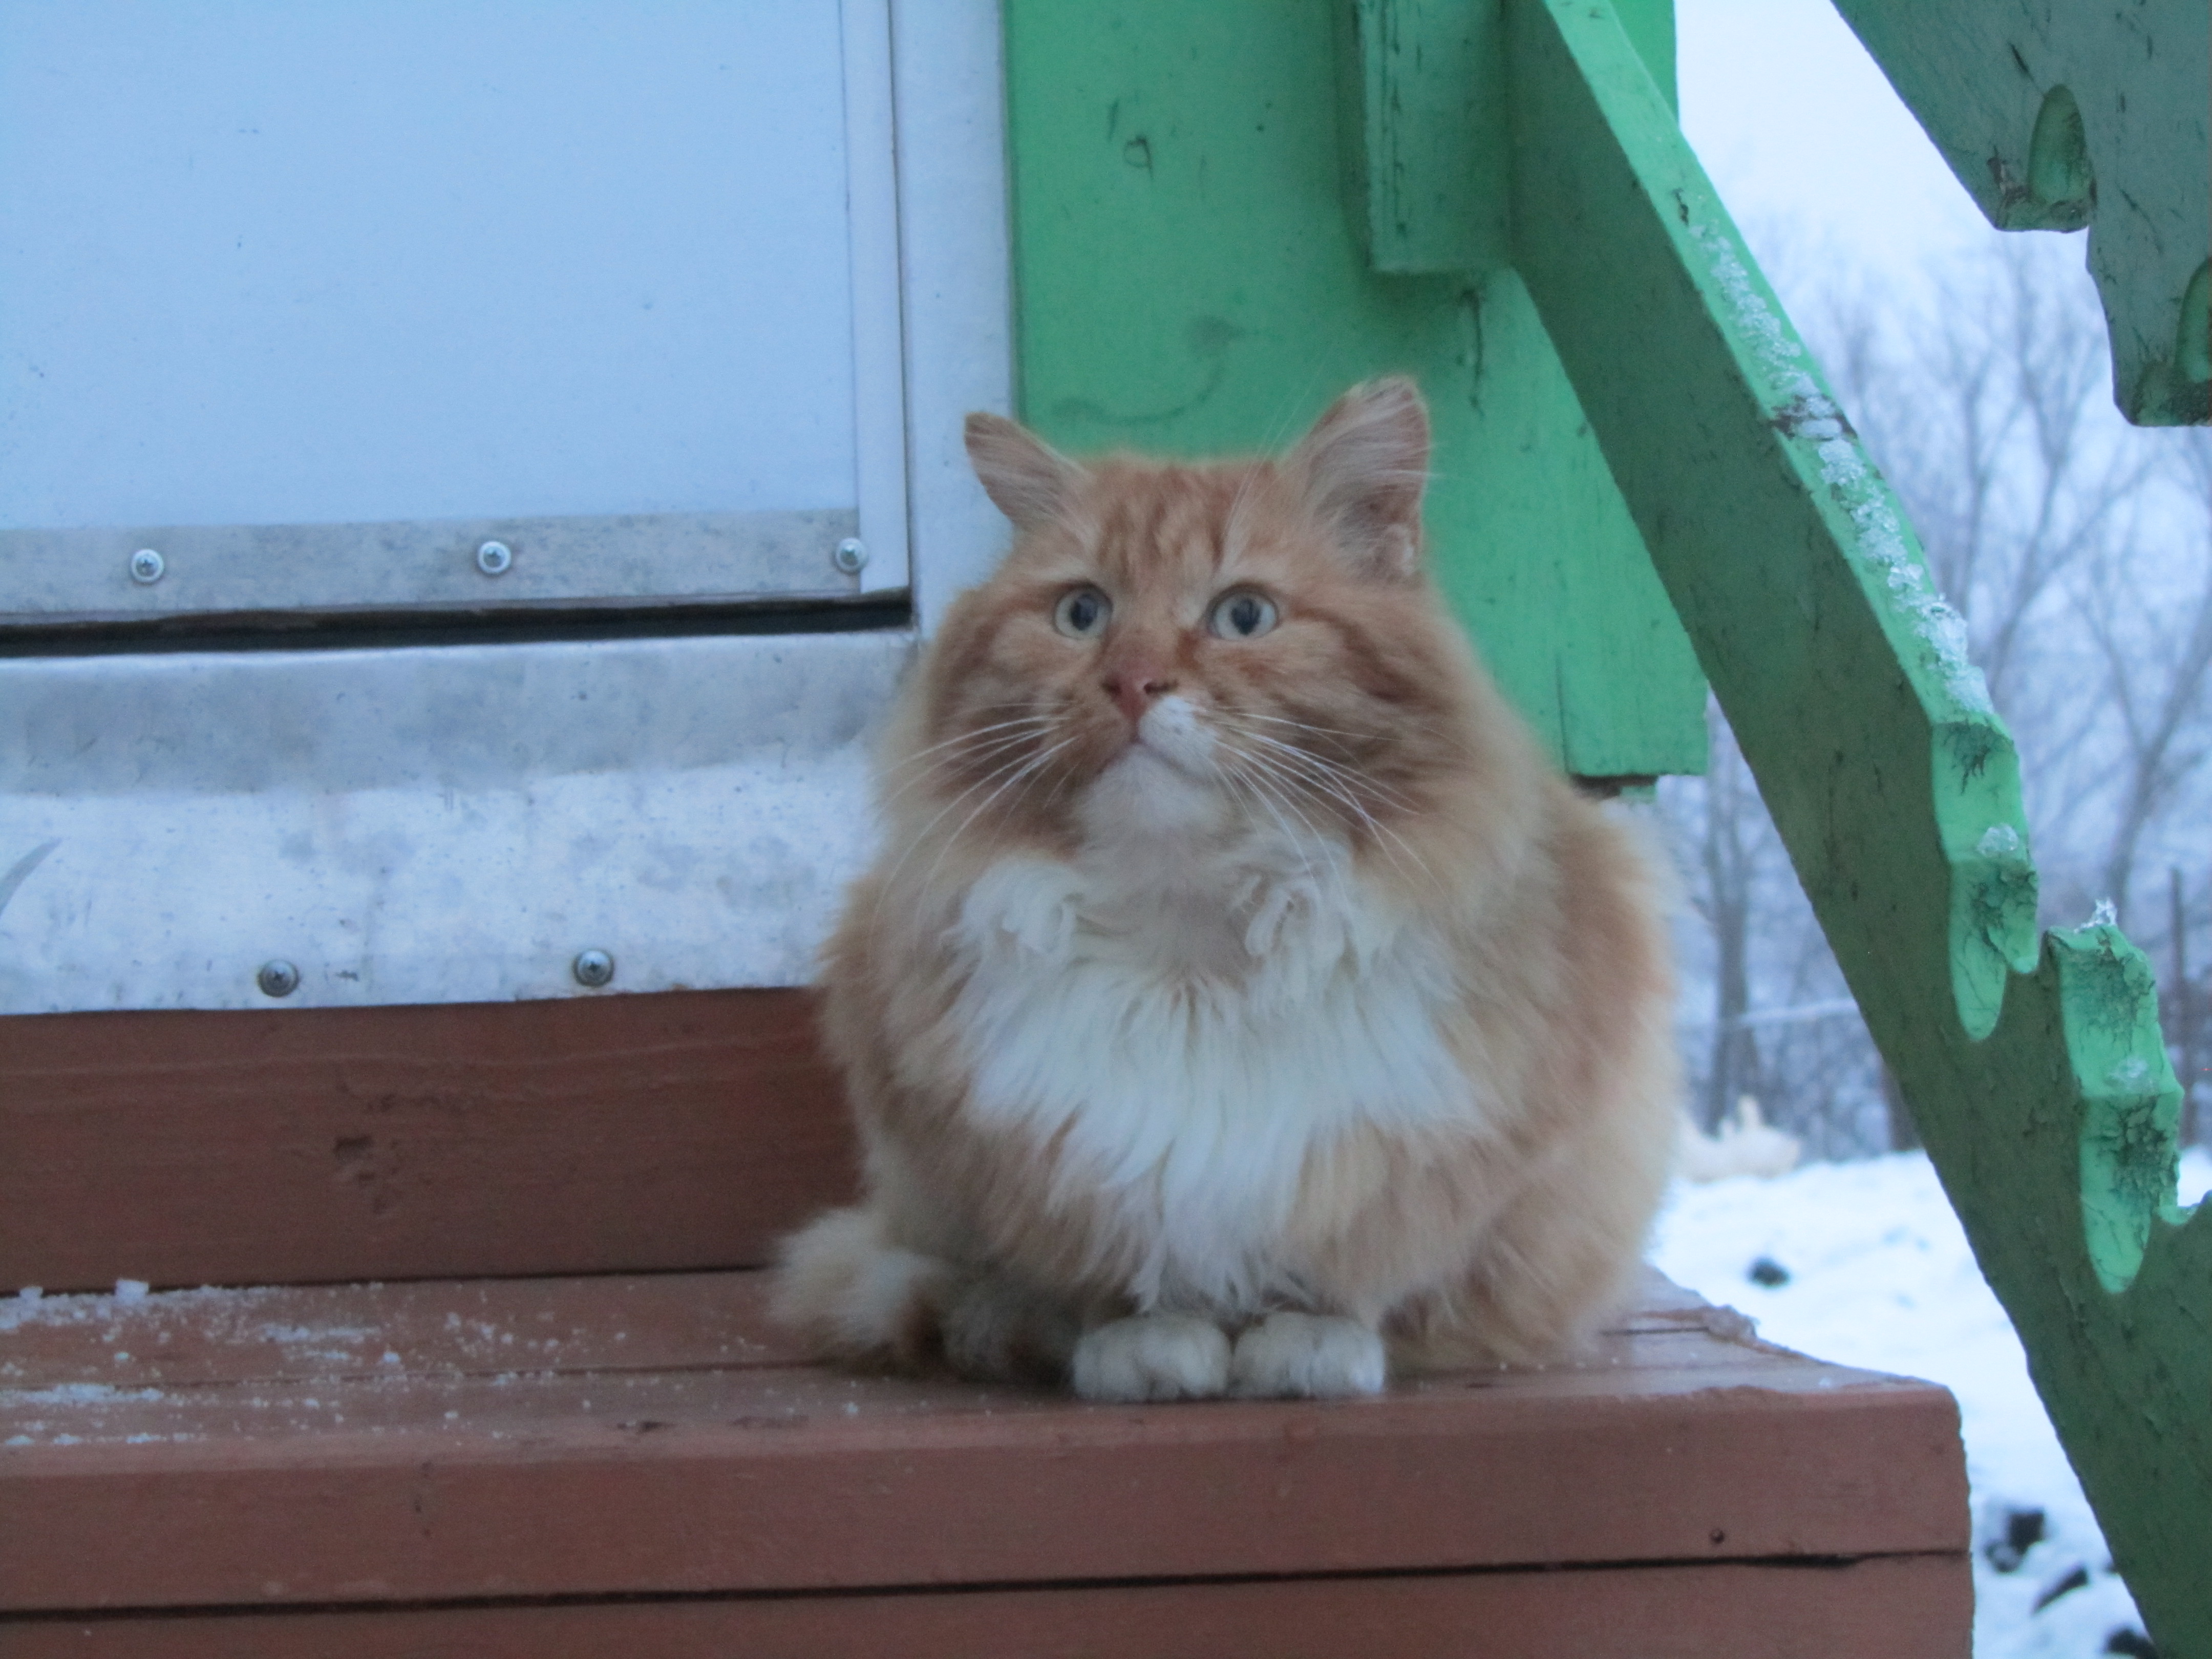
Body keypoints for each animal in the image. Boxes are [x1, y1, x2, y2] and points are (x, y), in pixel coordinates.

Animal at [778, 380, 1672, 1407]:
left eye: (1243, 617)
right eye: (1083, 613)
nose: (1132, 682)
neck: (1191, 938)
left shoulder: (1416, 1155)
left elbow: (1351, 1269)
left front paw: (1309, 1343)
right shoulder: (1046, 1159)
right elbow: (1121, 1277)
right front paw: (1149, 1343)